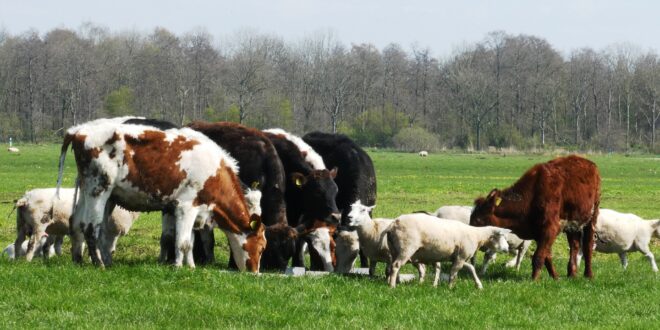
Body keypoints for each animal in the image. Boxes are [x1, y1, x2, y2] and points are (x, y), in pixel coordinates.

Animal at [54, 116, 266, 270]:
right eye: (262, 246)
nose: (255, 272)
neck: (214, 170)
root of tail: (78, 131)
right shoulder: (186, 206)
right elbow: (182, 242)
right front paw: (179, 267)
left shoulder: (193, 209)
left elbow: (188, 240)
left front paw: (190, 265)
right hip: (98, 189)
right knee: (91, 227)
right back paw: (99, 264)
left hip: (89, 191)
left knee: (79, 224)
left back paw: (80, 260)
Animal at [466, 156, 600, 280]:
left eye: (478, 220)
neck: (531, 197)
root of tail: (590, 164)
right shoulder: (538, 233)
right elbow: (547, 256)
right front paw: (555, 277)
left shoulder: (550, 228)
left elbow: (538, 256)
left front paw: (534, 279)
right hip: (573, 224)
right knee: (574, 245)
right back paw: (572, 273)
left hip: (592, 218)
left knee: (587, 245)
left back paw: (589, 274)